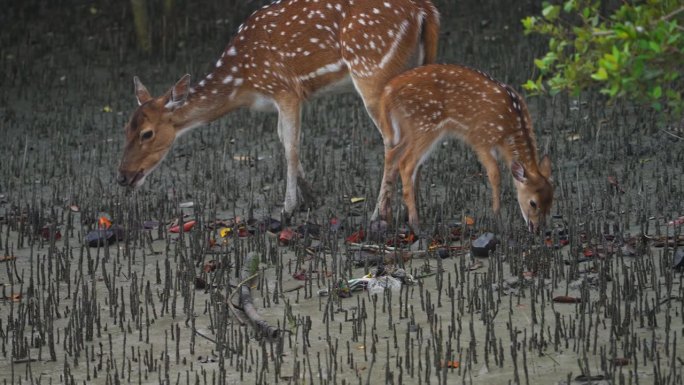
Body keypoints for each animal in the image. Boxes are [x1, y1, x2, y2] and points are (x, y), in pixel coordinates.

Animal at [117, 0, 438, 216]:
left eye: (147, 133)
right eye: (125, 129)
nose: (122, 176)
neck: (243, 83)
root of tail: (424, 9)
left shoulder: (286, 89)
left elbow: (291, 147)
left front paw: (288, 207)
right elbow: (283, 139)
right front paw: (311, 196)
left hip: (371, 67)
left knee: (392, 140)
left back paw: (378, 216)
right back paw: (413, 204)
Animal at [372, 63, 552, 231]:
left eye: (551, 202)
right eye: (533, 203)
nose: (537, 229)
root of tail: (387, 92)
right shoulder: (481, 139)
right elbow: (495, 175)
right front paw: (497, 216)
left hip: (412, 129)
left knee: (392, 155)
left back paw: (384, 215)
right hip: (424, 124)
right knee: (406, 163)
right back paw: (415, 222)